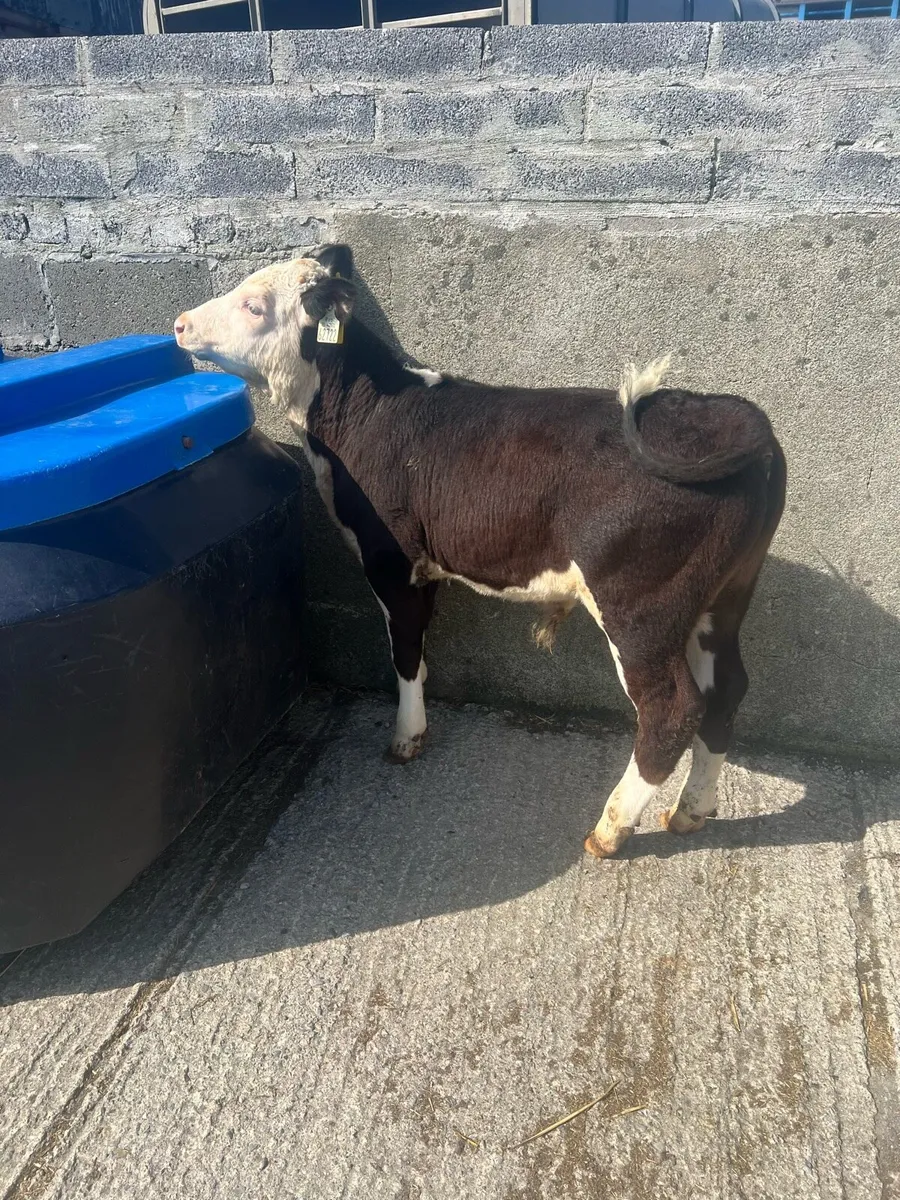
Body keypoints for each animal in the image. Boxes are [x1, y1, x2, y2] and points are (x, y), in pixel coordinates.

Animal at [174, 244, 786, 860]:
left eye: (254, 305)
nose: (179, 324)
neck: (364, 411)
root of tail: (725, 415)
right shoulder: (427, 564)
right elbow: (419, 645)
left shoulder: (392, 558)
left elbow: (404, 648)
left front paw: (406, 736)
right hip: (724, 598)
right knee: (728, 689)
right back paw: (691, 810)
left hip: (640, 605)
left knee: (672, 709)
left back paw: (610, 830)